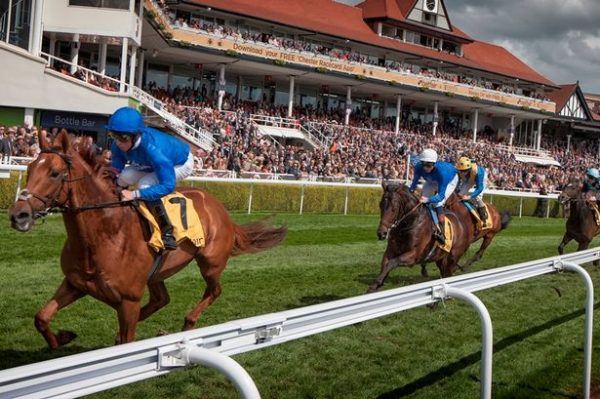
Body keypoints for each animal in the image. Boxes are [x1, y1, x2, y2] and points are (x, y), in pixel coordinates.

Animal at [8, 131, 288, 350]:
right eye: (30, 169)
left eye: (55, 173)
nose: (18, 214)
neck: (104, 233)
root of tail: (222, 211)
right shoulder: (75, 283)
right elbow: (41, 317)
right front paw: (63, 337)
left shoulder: (129, 301)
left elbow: (128, 340)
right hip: (158, 272)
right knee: (161, 299)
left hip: (210, 262)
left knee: (214, 290)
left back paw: (188, 323)